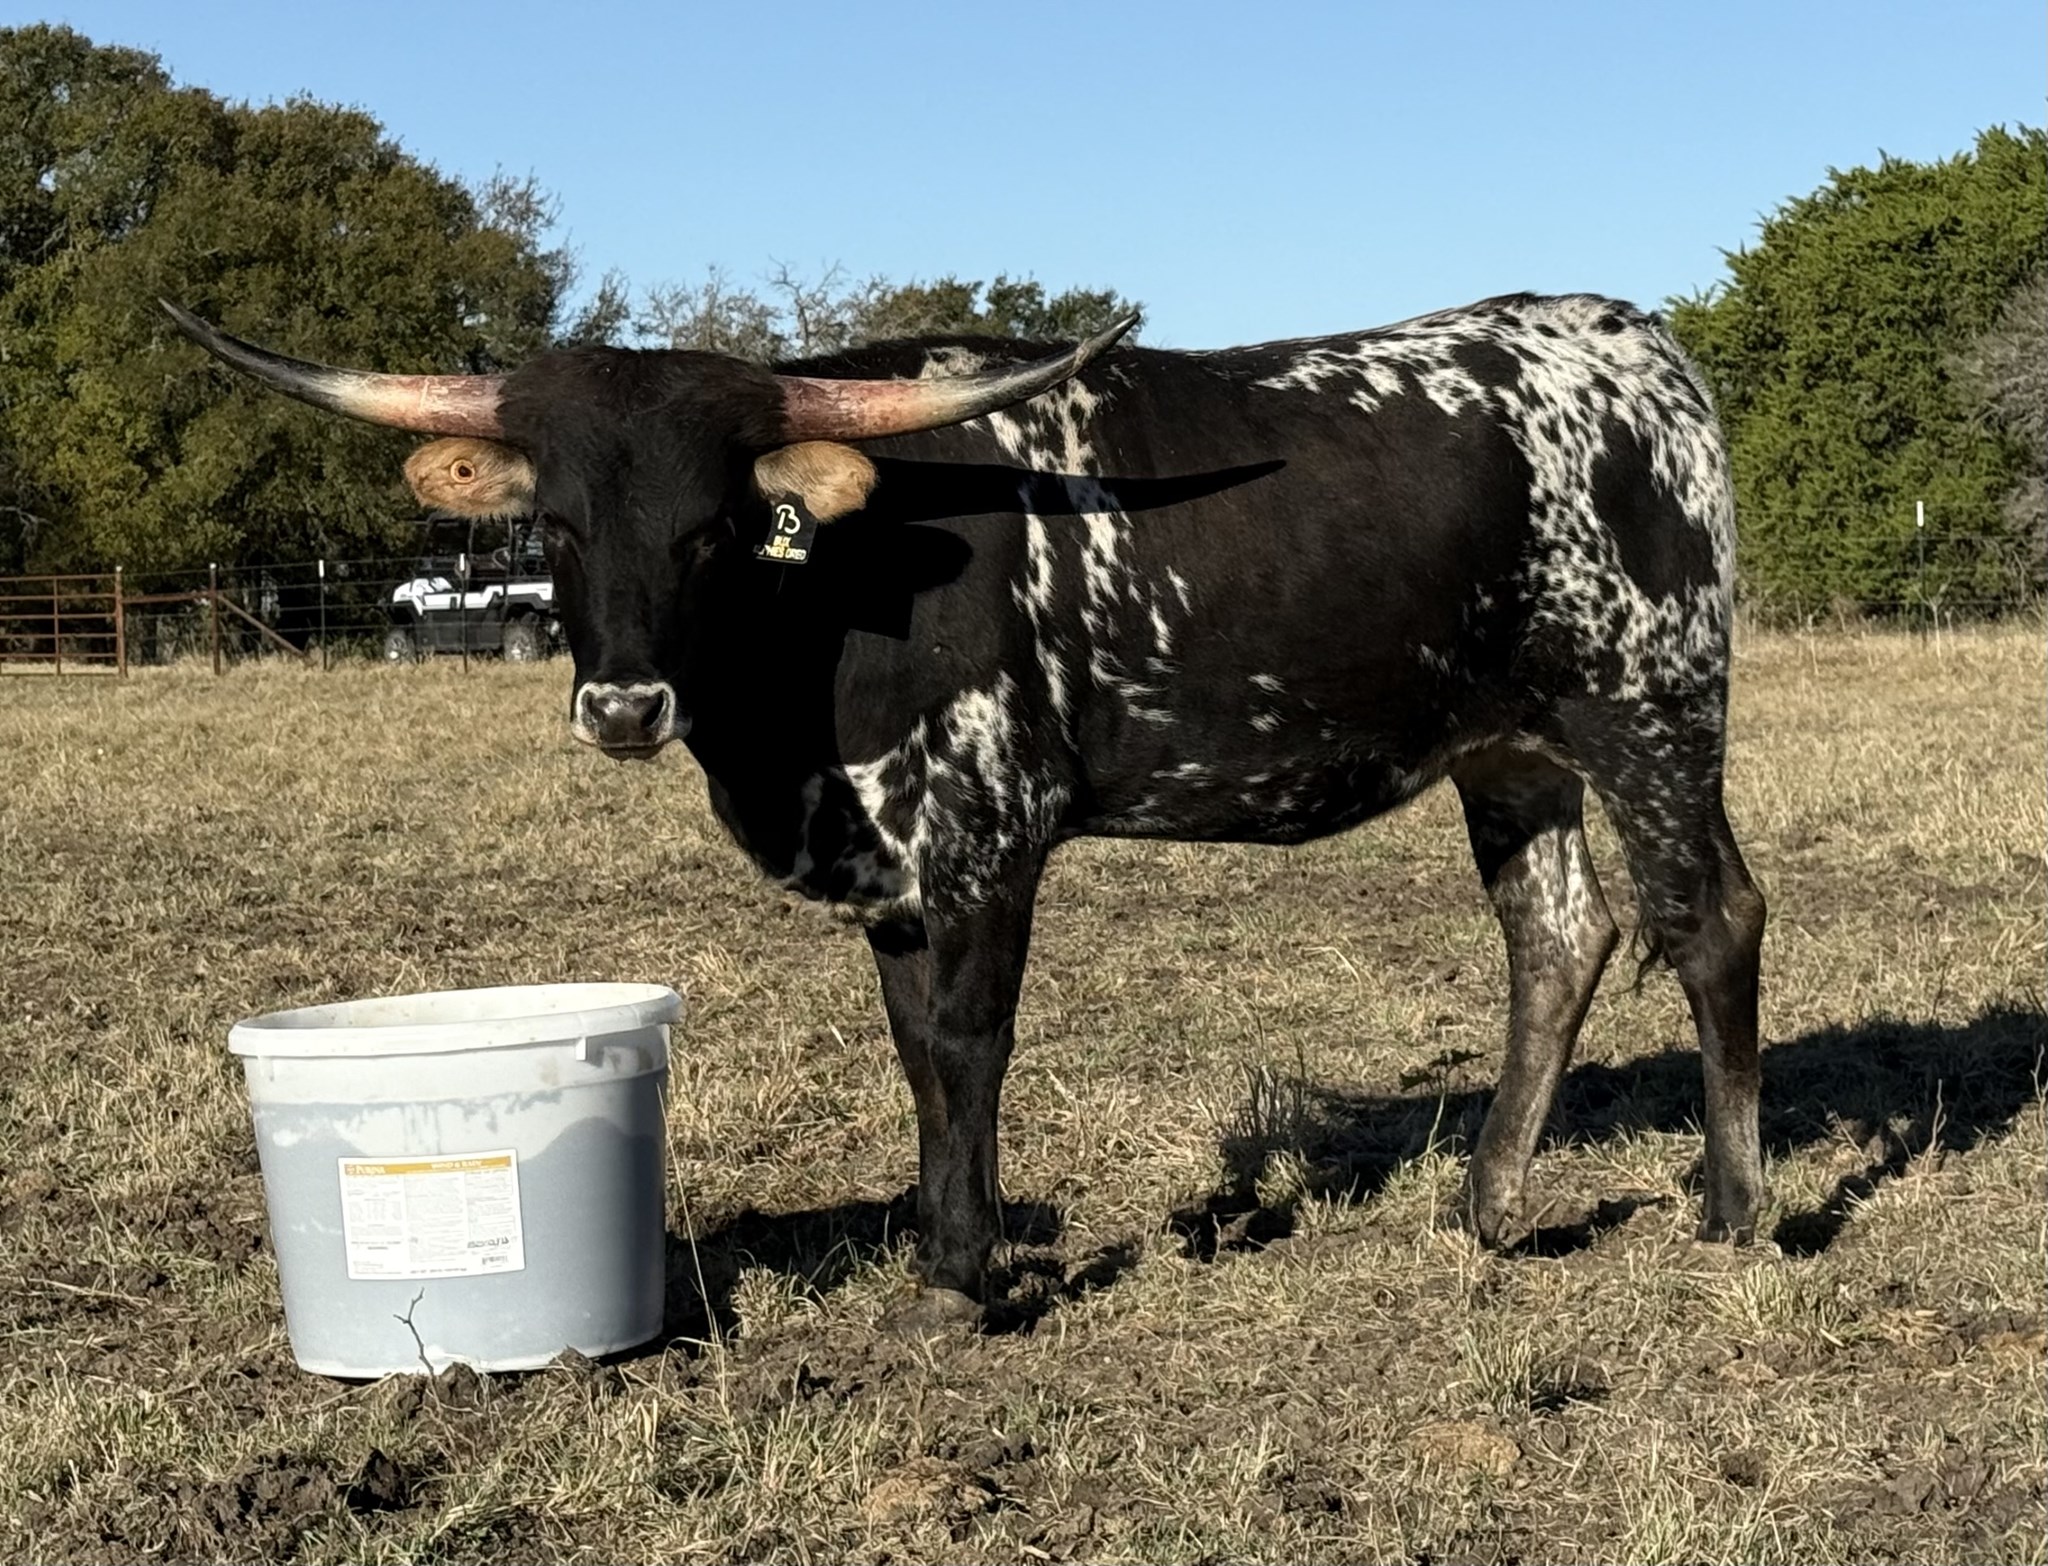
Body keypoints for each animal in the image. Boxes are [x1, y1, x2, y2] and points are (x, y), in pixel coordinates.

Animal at [163, 292, 1767, 1330]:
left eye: (717, 529)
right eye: (552, 523)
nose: (622, 706)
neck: (837, 606)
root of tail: (1630, 338)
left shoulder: (991, 834)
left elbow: (969, 1042)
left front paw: (961, 1277)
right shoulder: (890, 866)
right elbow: (914, 1058)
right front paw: (951, 1245)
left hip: (1653, 703)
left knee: (1710, 918)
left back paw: (1736, 1208)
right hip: (1511, 746)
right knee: (1558, 936)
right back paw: (1488, 1205)